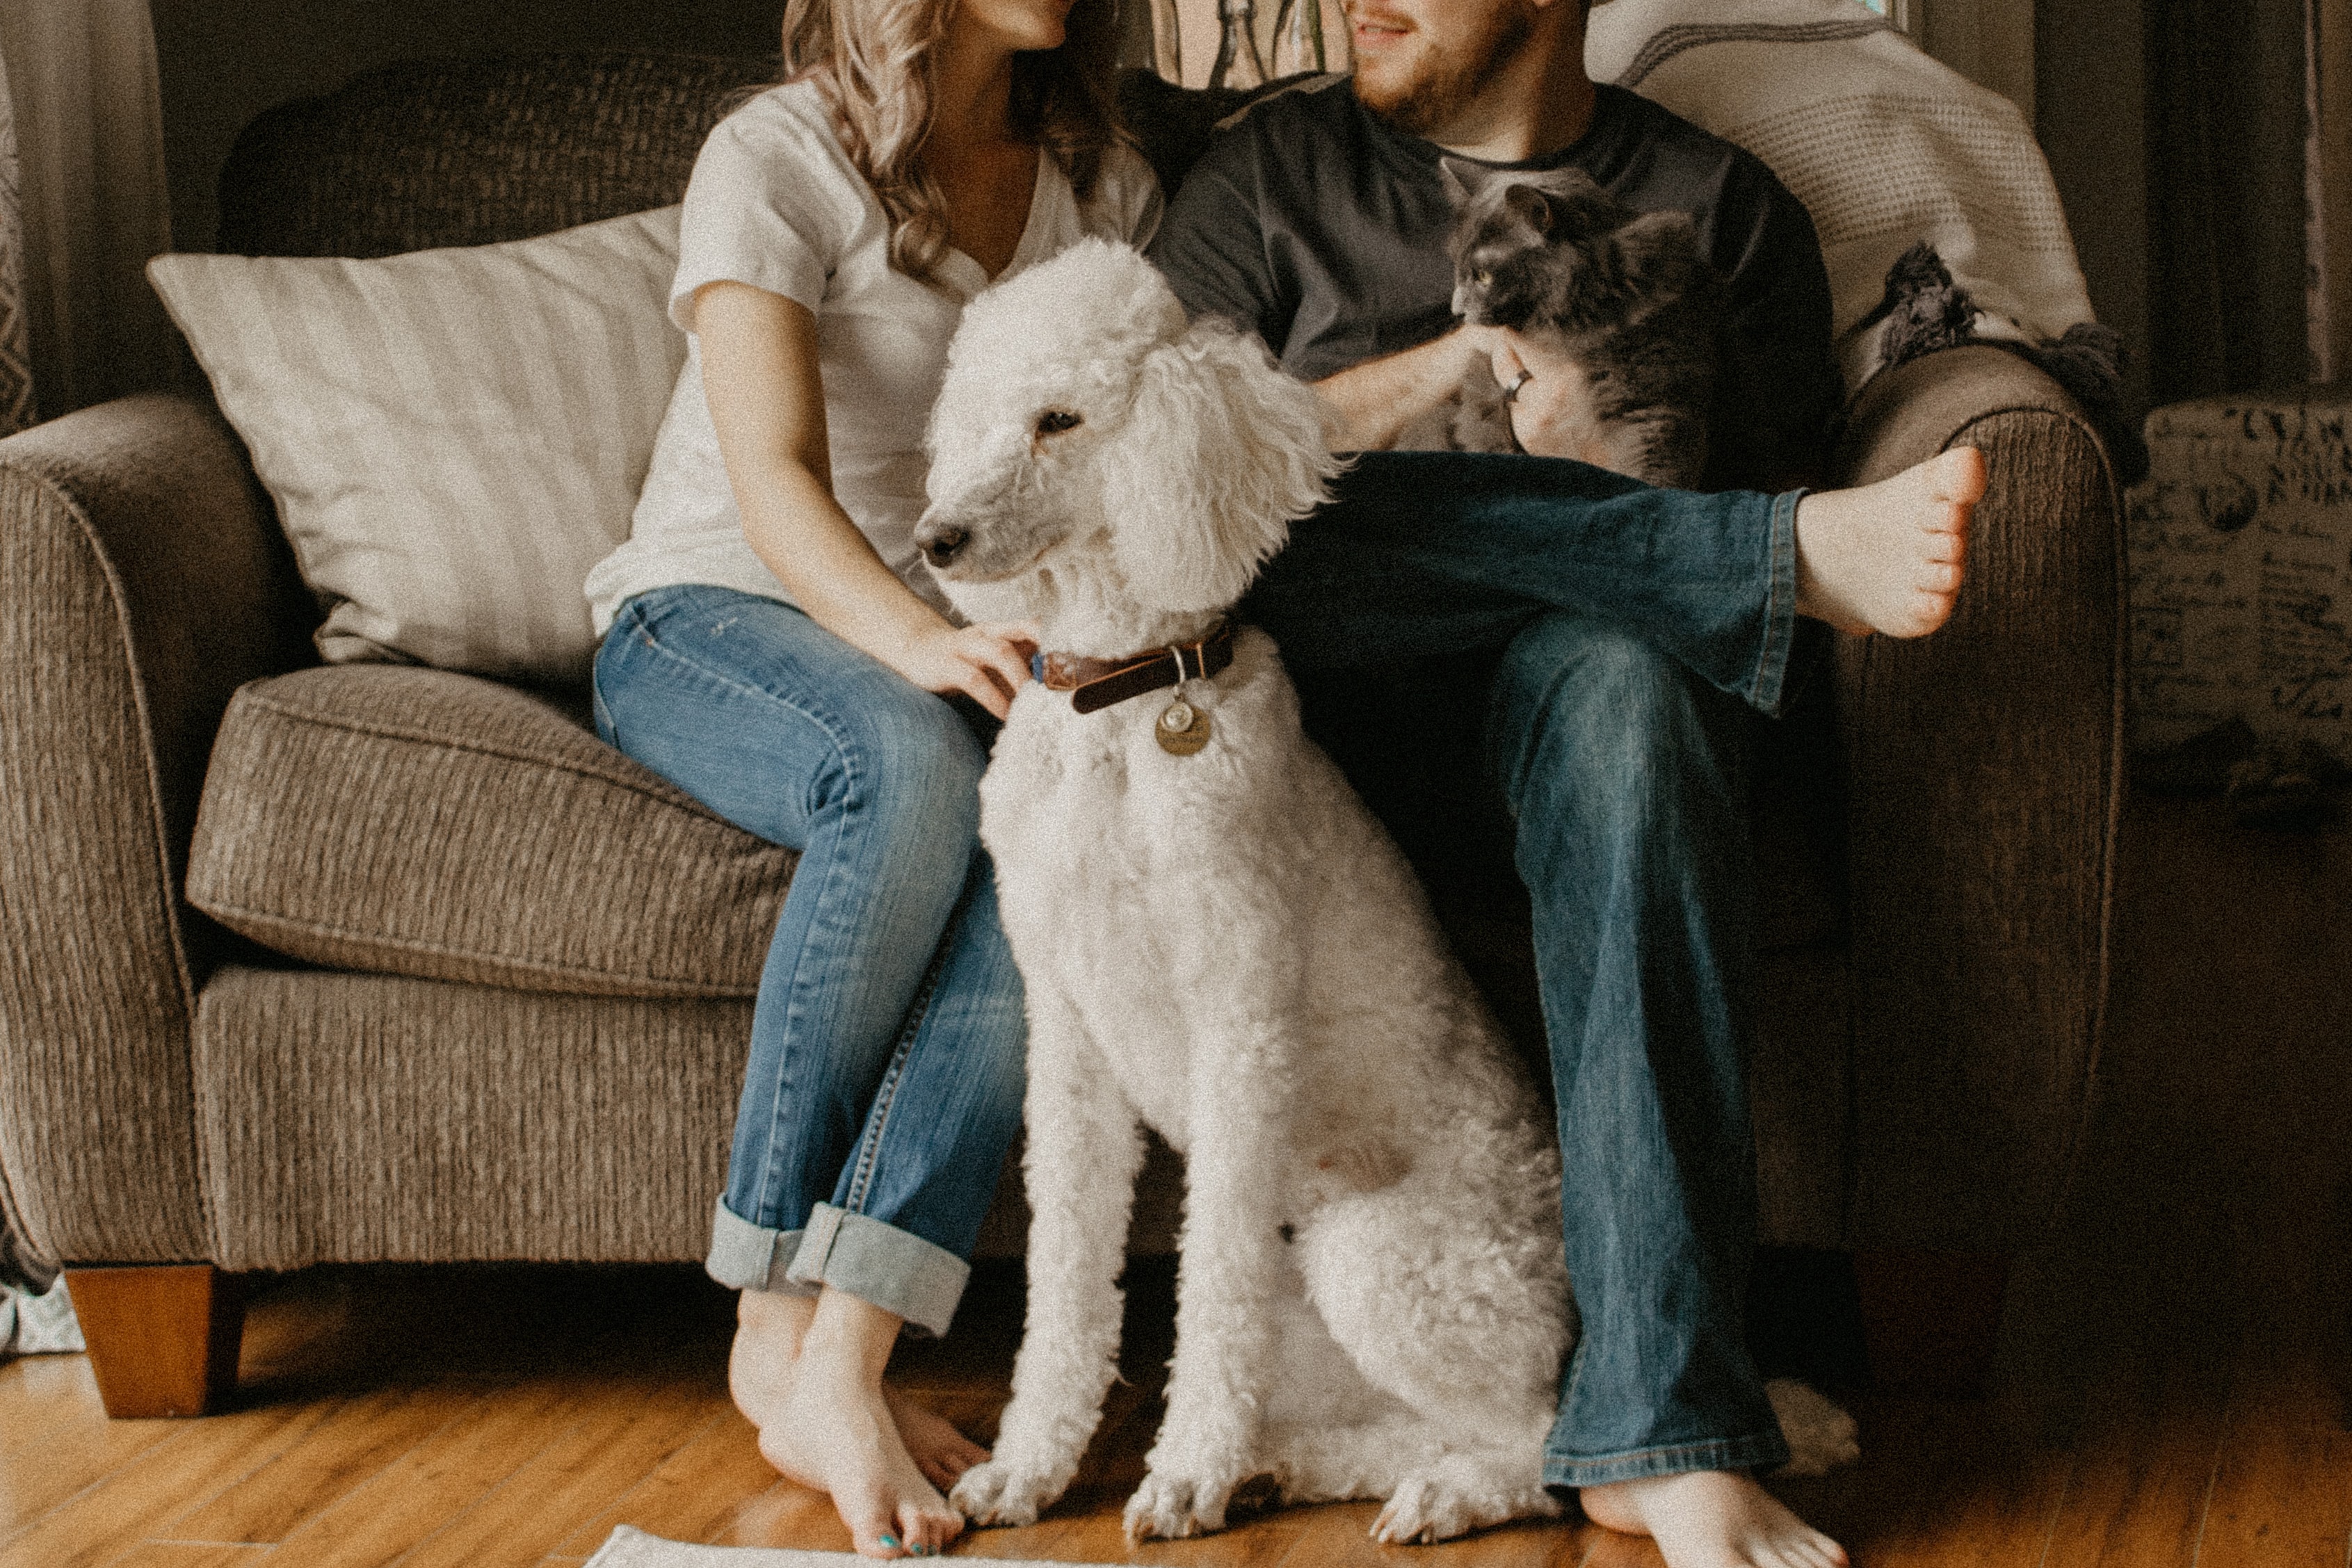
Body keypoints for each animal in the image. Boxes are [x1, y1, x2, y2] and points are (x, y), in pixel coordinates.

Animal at [917, 242, 1853, 1542]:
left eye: (1059, 420)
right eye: (973, 413)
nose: (933, 540)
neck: (1124, 705)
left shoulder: (1240, 1027)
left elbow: (1211, 1292)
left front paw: (1184, 1471)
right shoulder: (1065, 1038)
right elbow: (1062, 1280)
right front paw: (1031, 1463)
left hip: (1379, 1257)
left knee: (1542, 1449)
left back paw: (1435, 1493)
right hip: (1323, 1313)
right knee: (1407, 1422)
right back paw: (1290, 1466)